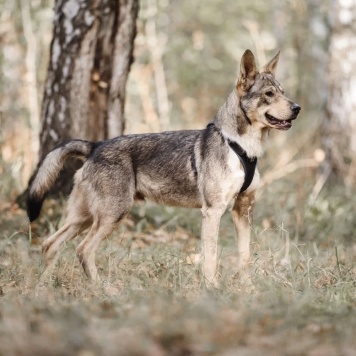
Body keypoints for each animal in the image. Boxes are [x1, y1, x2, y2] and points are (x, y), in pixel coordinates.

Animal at [27, 50, 300, 288]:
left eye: (283, 93)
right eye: (268, 94)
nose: (297, 108)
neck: (240, 147)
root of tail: (95, 145)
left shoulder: (243, 211)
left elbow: (245, 258)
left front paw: (248, 290)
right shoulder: (212, 212)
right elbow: (211, 259)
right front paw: (212, 289)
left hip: (83, 218)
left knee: (50, 245)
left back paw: (43, 288)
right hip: (111, 215)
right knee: (83, 250)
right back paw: (103, 289)